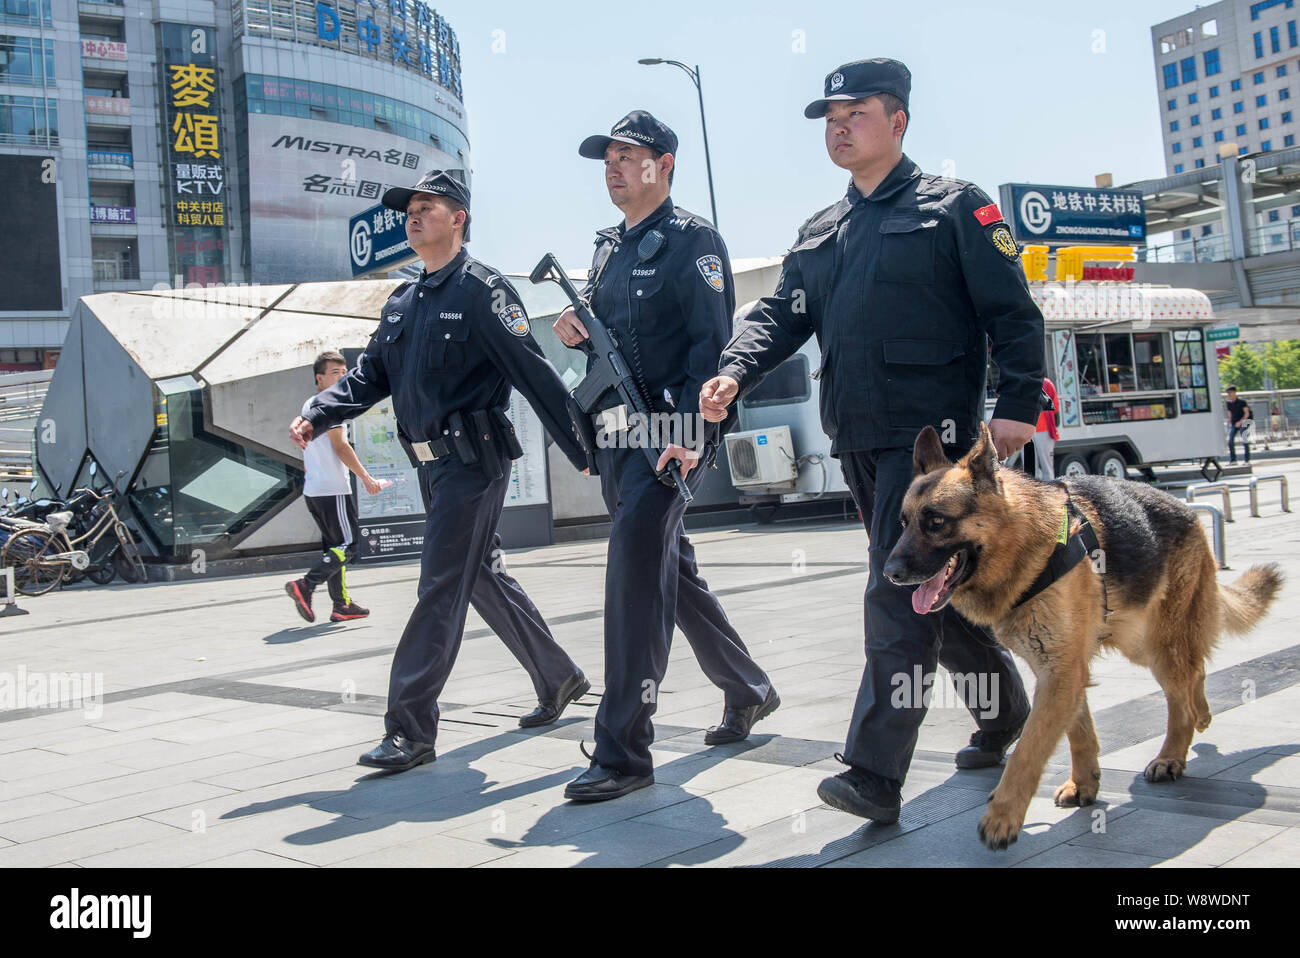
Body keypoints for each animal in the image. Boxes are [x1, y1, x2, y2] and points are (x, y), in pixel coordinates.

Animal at [883, 421, 1279, 847]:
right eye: (904, 523)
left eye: (936, 521)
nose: (889, 573)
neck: (1025, 544)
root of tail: (1188, 511)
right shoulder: (1060, 668)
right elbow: (1079, 730)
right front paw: (1084, 783)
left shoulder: (1061, 671)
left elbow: (1028, 750)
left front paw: (1003, 816)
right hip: (1139, 641)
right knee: (1195, 672)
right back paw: (1202, 714)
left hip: (1158, 644)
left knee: (1182, 696)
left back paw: (1171, 756)